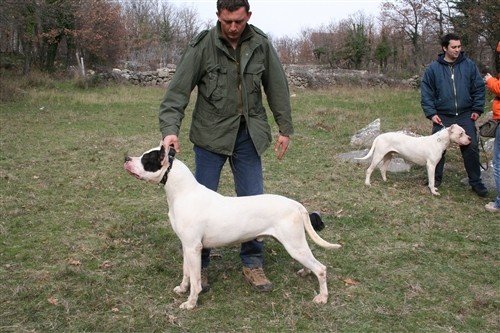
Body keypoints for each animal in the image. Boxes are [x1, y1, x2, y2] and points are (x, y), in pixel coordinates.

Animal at [125, 145, 342, 308]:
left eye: (146, 158)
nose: (126, 158)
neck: (183, 193)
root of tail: (296, 204)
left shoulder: (194, 247)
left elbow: (195, 281)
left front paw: (191, 303)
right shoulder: (187, 247)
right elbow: (187, 273)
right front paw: (182, 289)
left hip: (294, 244)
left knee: (321, 269)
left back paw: (322, 297)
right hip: (295, 245)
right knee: (310, 263)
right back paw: (305, 272)